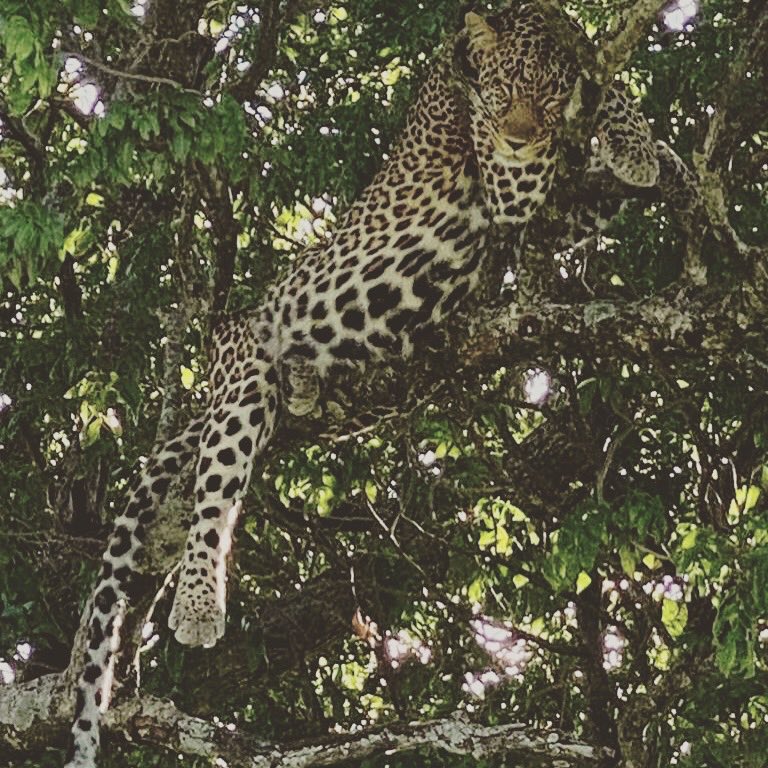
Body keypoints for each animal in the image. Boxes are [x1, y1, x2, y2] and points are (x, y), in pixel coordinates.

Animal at [66, 4, 667, 765]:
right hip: (239, 374)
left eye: (543, 93)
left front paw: (632, 141)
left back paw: (307, 382)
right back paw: (200, 605)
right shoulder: (505, 176)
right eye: (504, 93)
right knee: (214, 500)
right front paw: (630, 139)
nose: (519, 132)